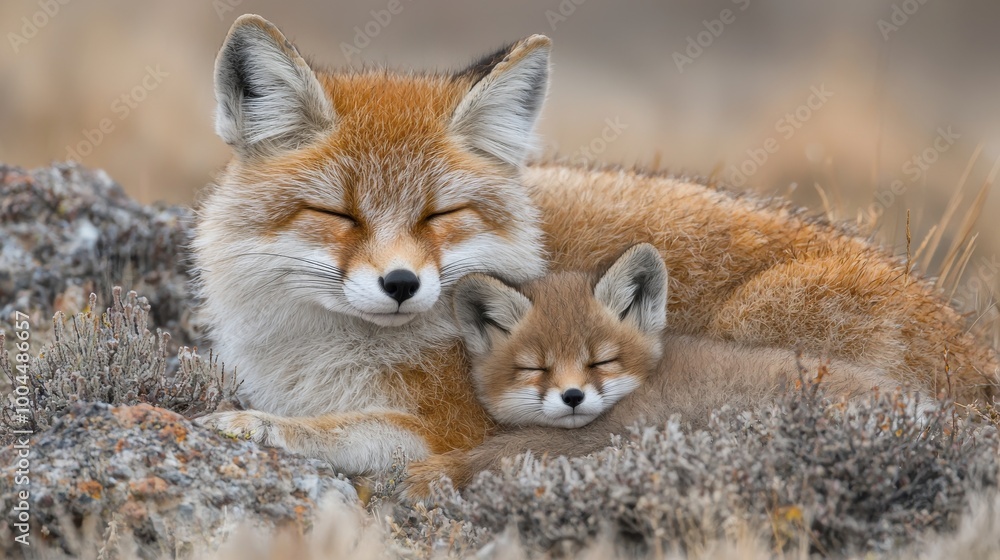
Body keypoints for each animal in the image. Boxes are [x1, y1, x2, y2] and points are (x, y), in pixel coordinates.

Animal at [194, 15, 997, 483]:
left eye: (440, 214)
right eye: (339, 213)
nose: (400, 285)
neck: (323, 356)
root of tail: (968, 345)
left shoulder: (451, 426)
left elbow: (346, 432)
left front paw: (258, 428)